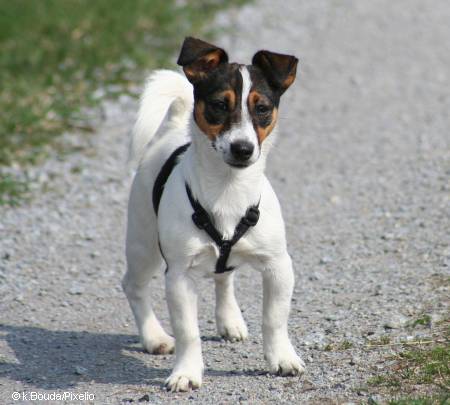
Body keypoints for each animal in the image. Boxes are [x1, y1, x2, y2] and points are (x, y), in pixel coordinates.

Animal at [123, 36, 304, 390]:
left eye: (262, 108)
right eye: (220, 105)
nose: (242, 149)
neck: (228, 190)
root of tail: (173, 129)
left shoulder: (278, 266)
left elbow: (274, 319)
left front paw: (282, 358)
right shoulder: (178, 276)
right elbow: (188, 333)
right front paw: (186, 373)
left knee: (224, 277)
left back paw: (229, 320)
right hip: (143, 246)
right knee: (133, 286)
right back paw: (154, 337)